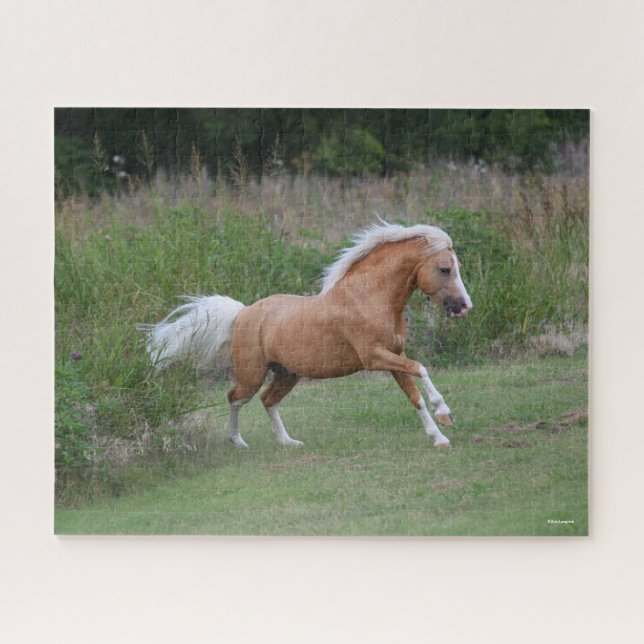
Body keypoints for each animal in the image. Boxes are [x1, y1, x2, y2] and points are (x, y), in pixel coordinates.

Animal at [143, 221, 473, 448]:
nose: (464, 306)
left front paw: (440, 436)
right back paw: (238, 441)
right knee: (235, 397)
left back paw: (288, 442)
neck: (367, 298)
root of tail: (243, 312)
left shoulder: (394, 357)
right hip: (252, 373)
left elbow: (414, 396)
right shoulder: (375, 357)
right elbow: (422, 369)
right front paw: (445, 413)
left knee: (267, 400)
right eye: (445, 269)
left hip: (287, 373)